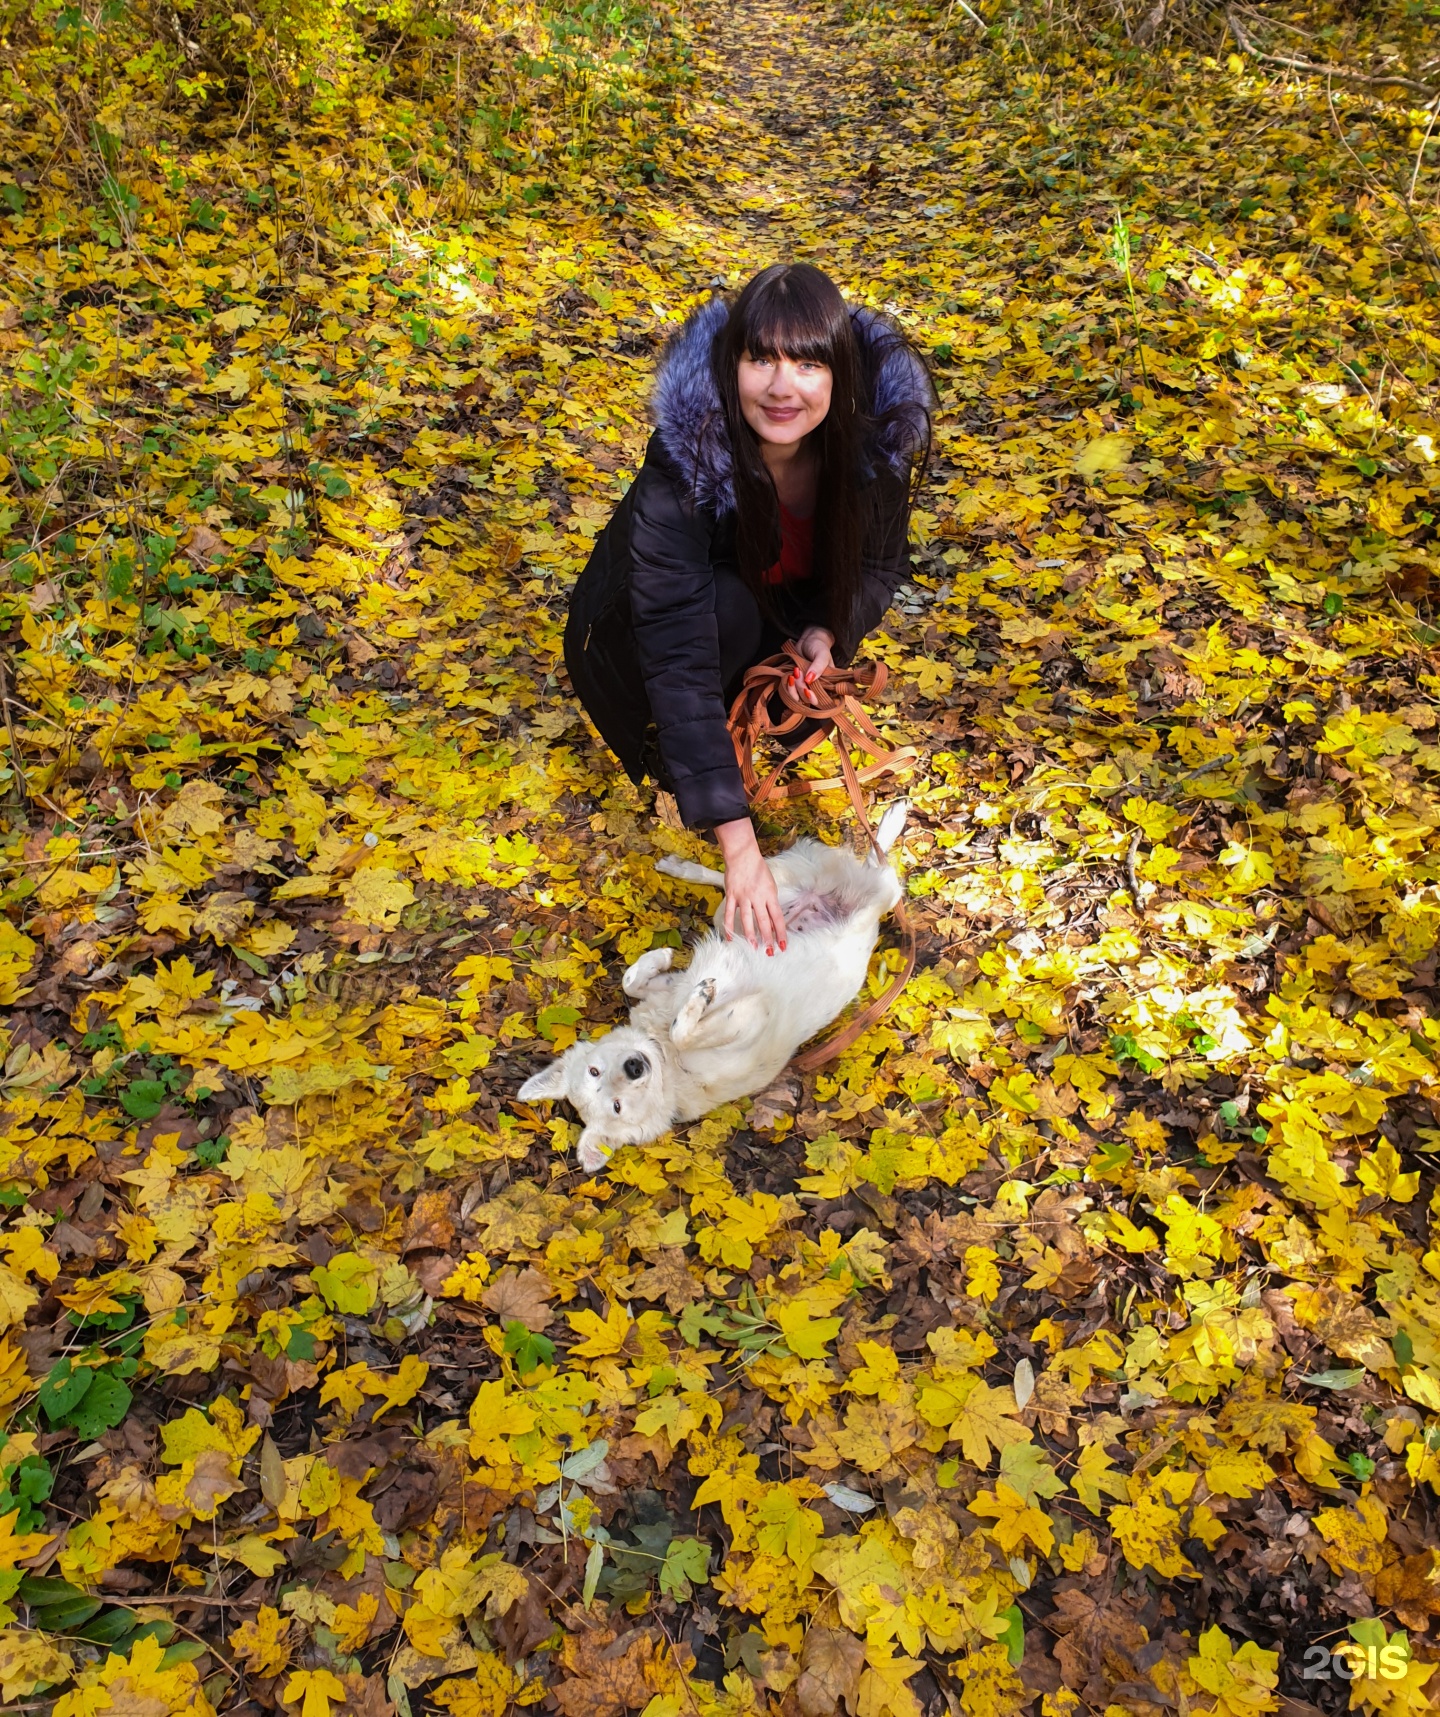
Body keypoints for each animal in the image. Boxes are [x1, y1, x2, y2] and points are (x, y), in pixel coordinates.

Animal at [511, 803, 906, 1167]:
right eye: (616, 1106)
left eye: (595, 1070)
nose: (635, 1067)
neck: (662, 1054)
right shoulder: (753, 1015)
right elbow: (685, 1027)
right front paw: (698, 998)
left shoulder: (672, 990)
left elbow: (631, 982)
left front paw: (660, 958)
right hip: (874, 895)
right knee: (879, 866)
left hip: (751, 906)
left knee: (751, 879)